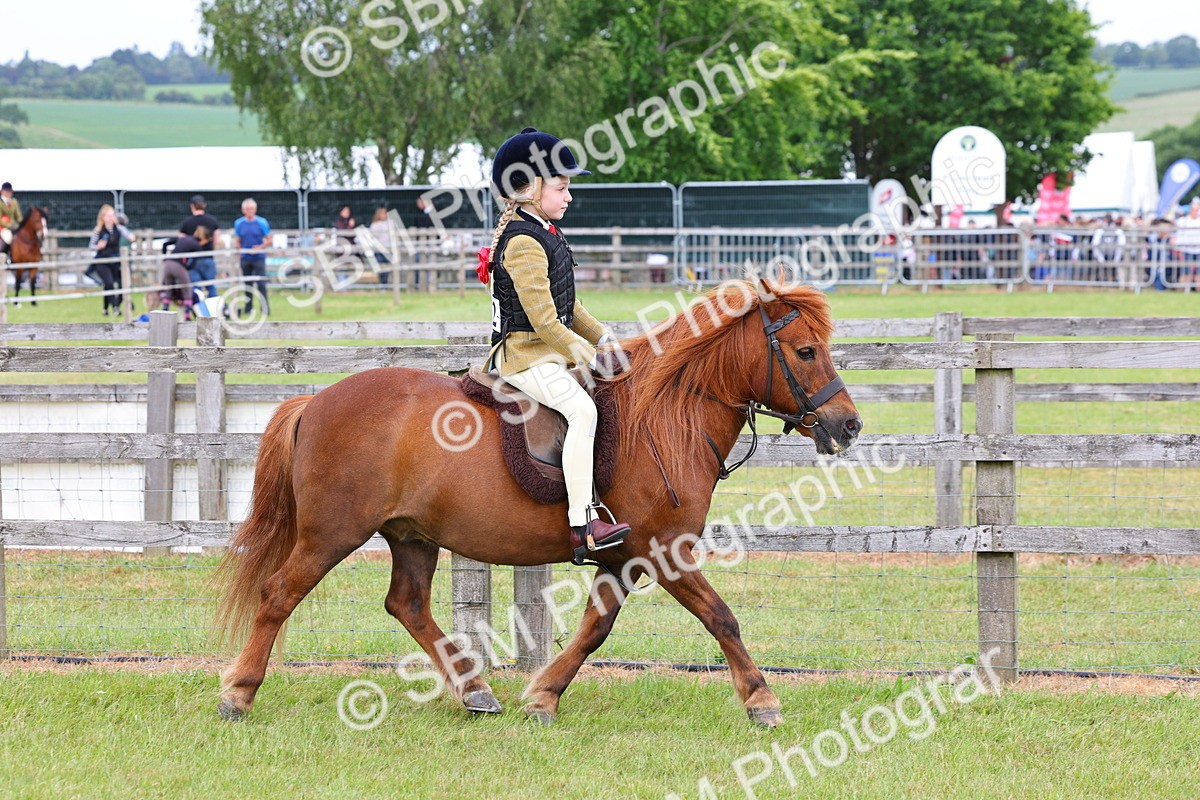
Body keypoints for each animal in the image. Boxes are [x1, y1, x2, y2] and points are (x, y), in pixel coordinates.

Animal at [215, 278, 862, 727]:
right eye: (806, 351)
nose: (849, 425)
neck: (666, 415)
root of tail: (316, 402)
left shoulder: (621, 558)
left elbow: (594, 629)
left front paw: (544, 696)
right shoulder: (664, 552)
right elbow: (721, 617)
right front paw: (762, 700)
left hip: (412, 535)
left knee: (408, 605)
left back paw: (475, 690)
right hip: (331, 534)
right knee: (278, 594)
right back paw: (238, 693)